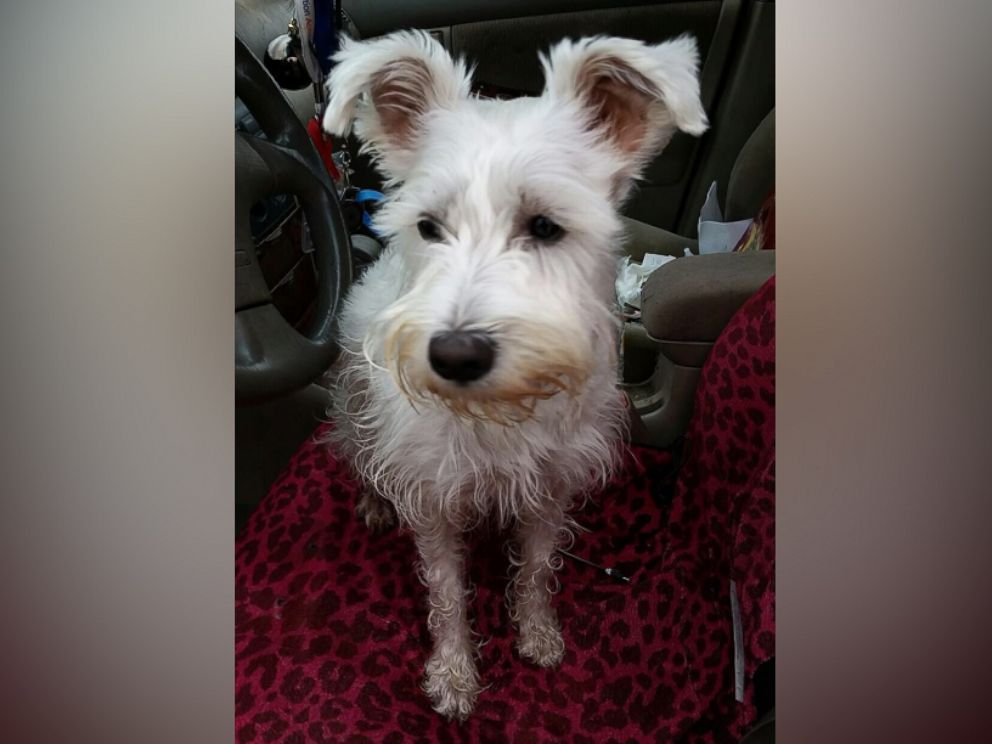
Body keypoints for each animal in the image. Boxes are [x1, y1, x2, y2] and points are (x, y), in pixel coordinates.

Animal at [322, 30, 708, 720]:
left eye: (547, 226)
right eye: (428, 227)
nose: (454, 355)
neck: (499, 410)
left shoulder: (551, 485)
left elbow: (535, 567)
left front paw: (536, 633)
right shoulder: (433, 495)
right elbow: (447, 591)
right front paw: (453, 674)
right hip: (352, 400)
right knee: (358, 451)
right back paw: (372, 499)